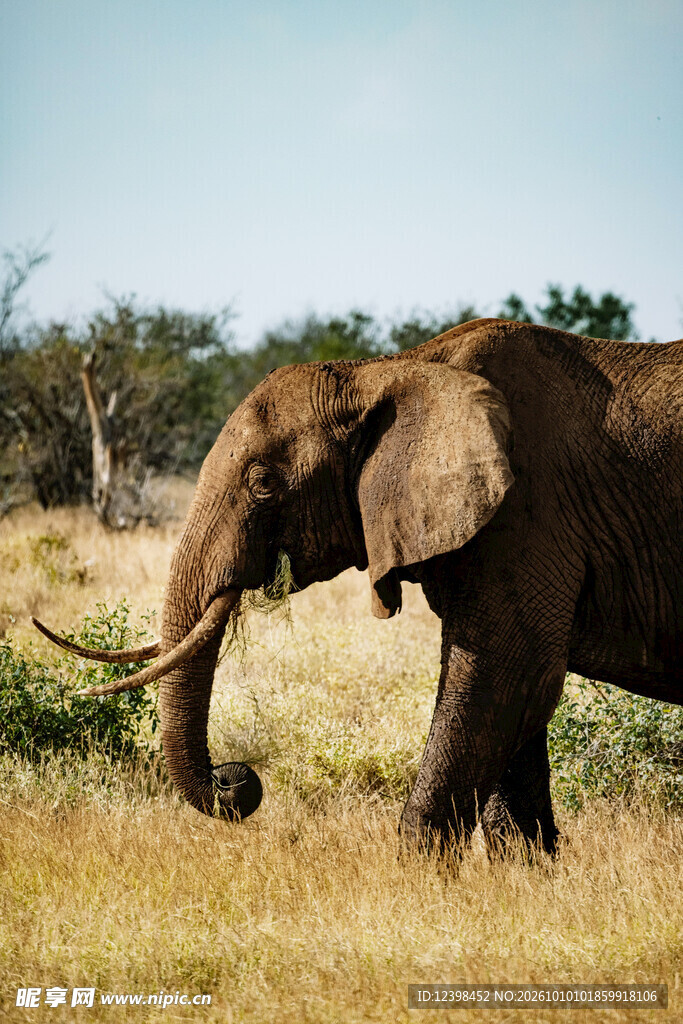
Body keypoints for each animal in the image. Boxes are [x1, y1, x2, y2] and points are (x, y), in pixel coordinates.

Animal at [34, 318, 683, 854]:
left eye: (263, 482)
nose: (236, 781)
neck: (387, 371)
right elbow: (511, 706)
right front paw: (521, 881)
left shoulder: (527, 511)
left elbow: (508, 673)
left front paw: (424, 884)